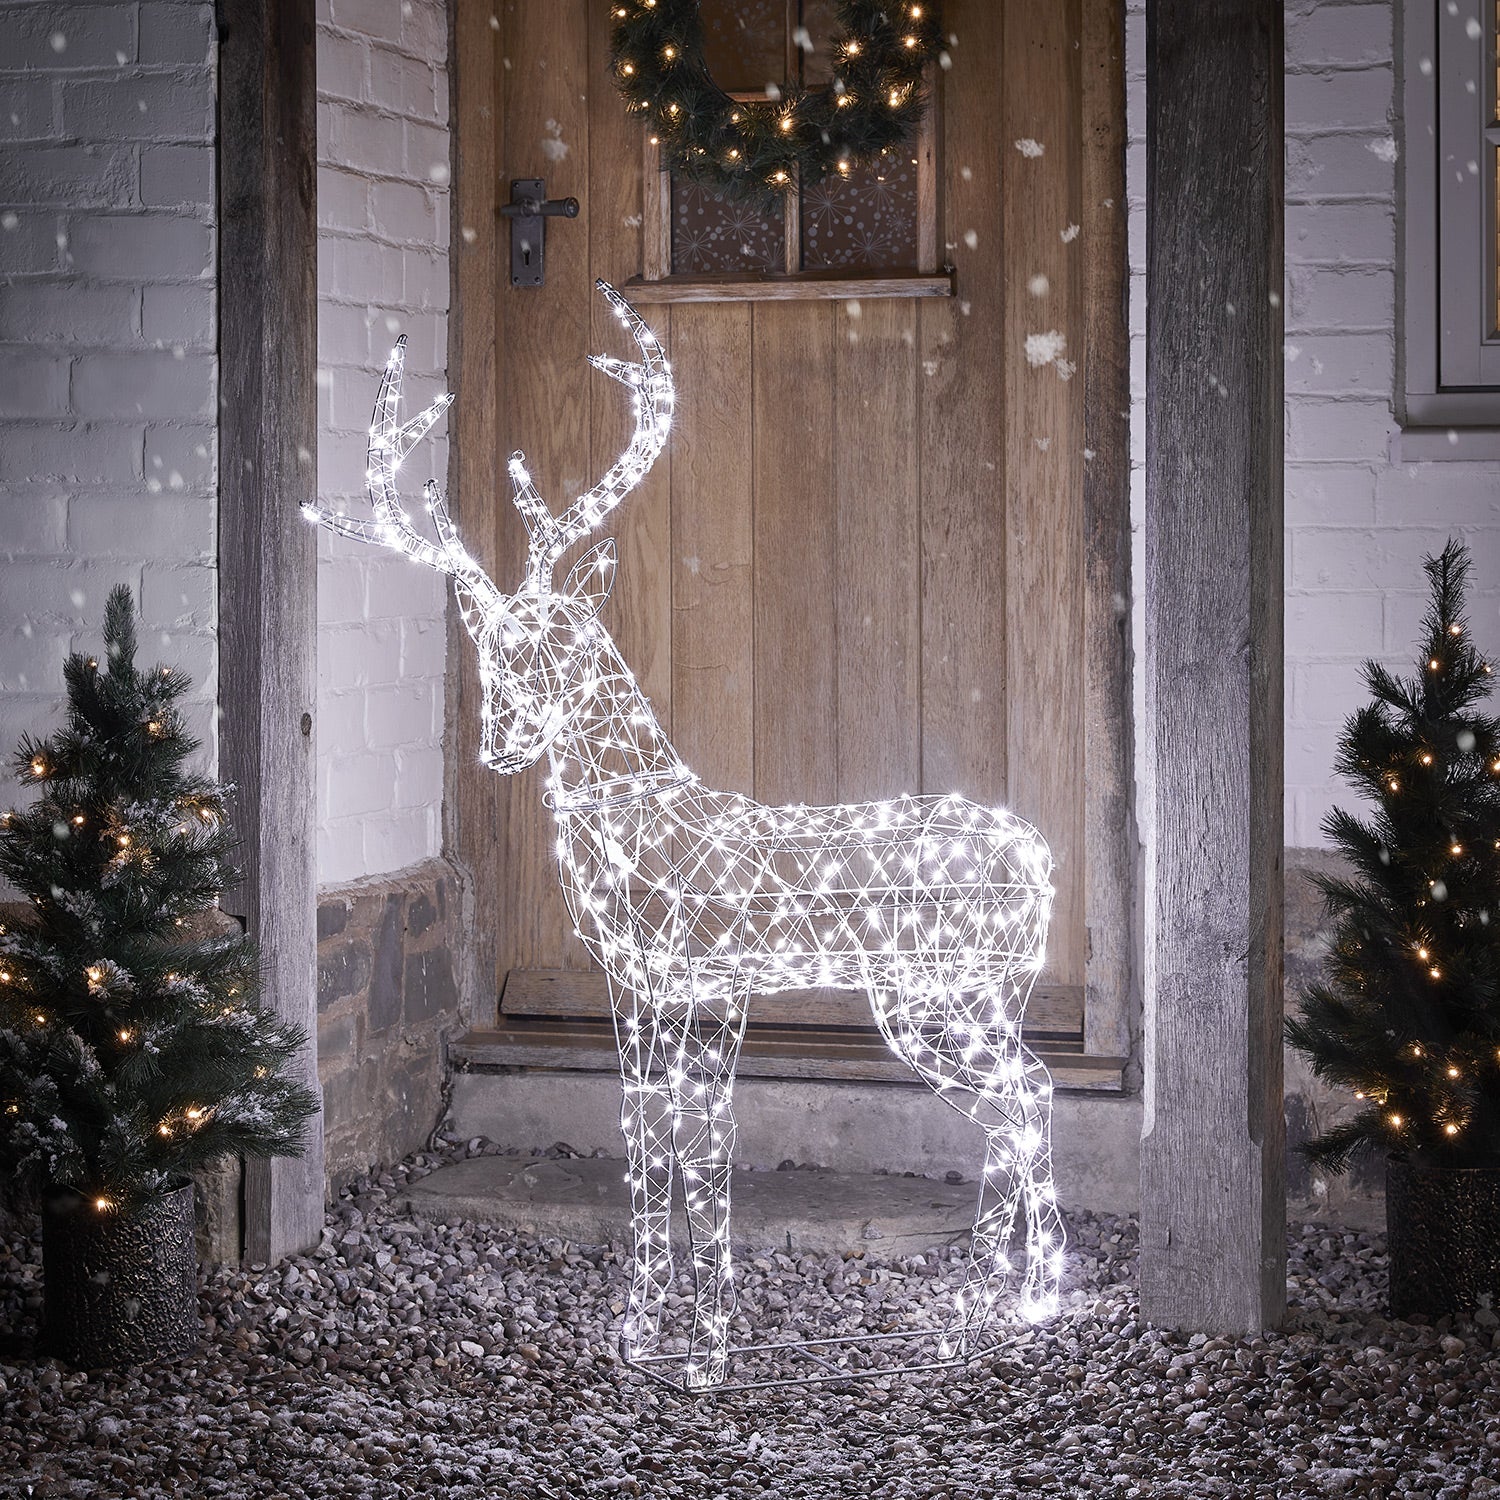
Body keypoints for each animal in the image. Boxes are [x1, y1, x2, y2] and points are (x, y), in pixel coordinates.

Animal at [304, 282, 1064, 1390]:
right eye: (492, 651)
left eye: (566, 645)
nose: (499, 743)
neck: (642, 821)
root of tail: (1044, 863)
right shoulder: (644, 988)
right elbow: (652, 1132)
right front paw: (648, 1323)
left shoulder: (696, 978)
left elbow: (693, 1142)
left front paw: (696, 1343)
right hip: (955, 996)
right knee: (1027, 1099)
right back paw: (1020, 1304)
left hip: (941, 991)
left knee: (1025, 1097)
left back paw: (997, 1308)